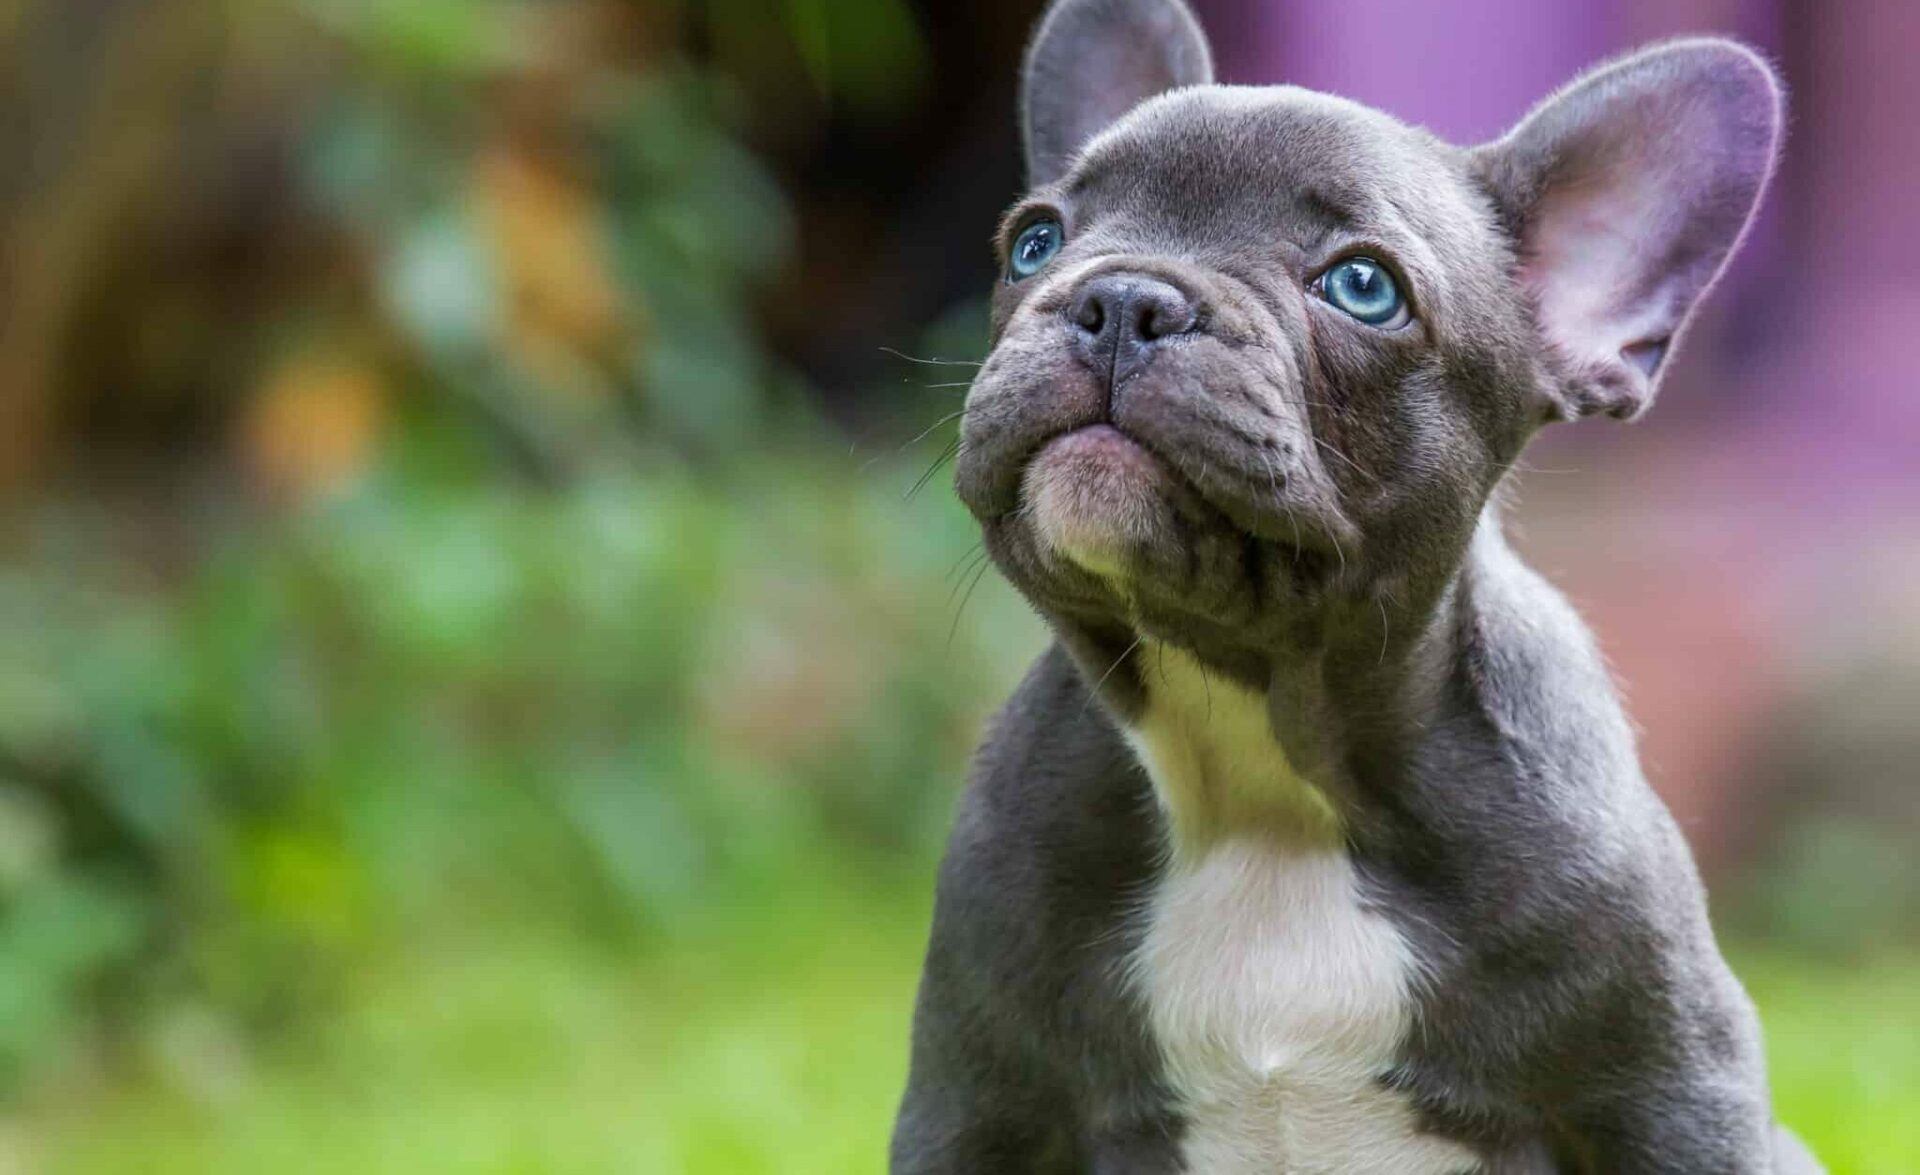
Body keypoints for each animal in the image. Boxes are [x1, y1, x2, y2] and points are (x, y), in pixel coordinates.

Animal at [890, 2, 1820, 1175]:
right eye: (1035, 242)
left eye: (1364, 287)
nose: (1121, 295)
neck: (1259, 769)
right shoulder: (975, 1101)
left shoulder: (1673, 1101)